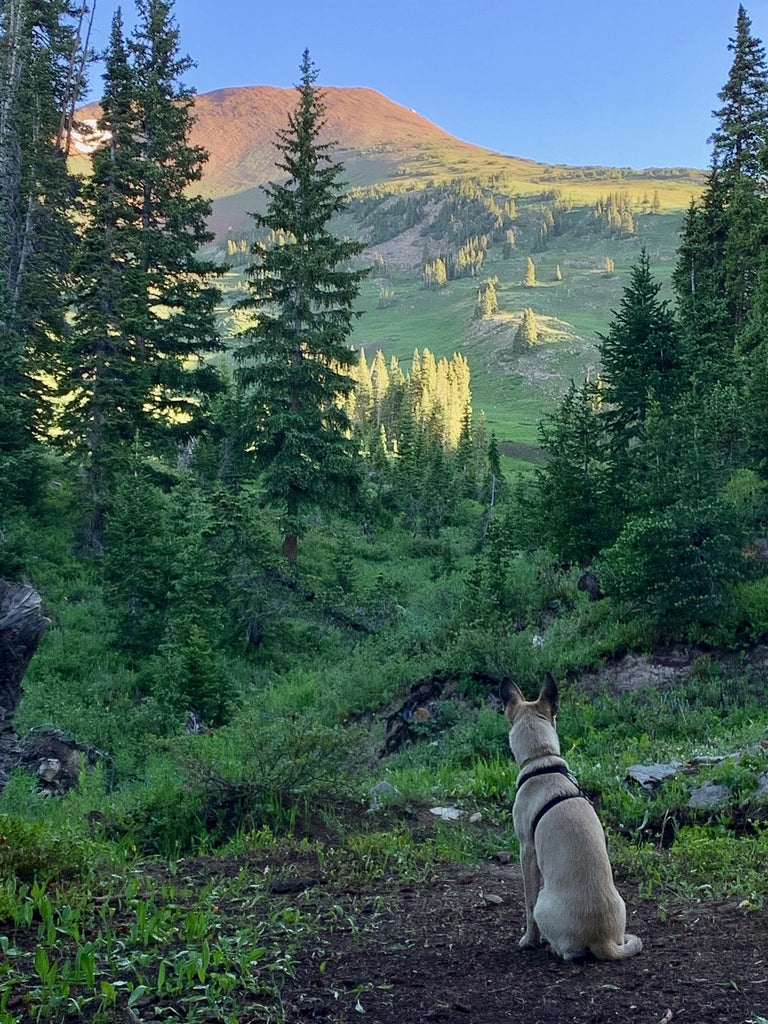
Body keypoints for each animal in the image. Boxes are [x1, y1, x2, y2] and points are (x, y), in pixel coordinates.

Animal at [505, 679, 643, 958]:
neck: (542, 760)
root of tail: (603, 940)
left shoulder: (526, 850)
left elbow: (527, 903)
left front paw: (529, 940)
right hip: (621, 905)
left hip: (543, 903)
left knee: (568, 951)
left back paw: (553, 948)